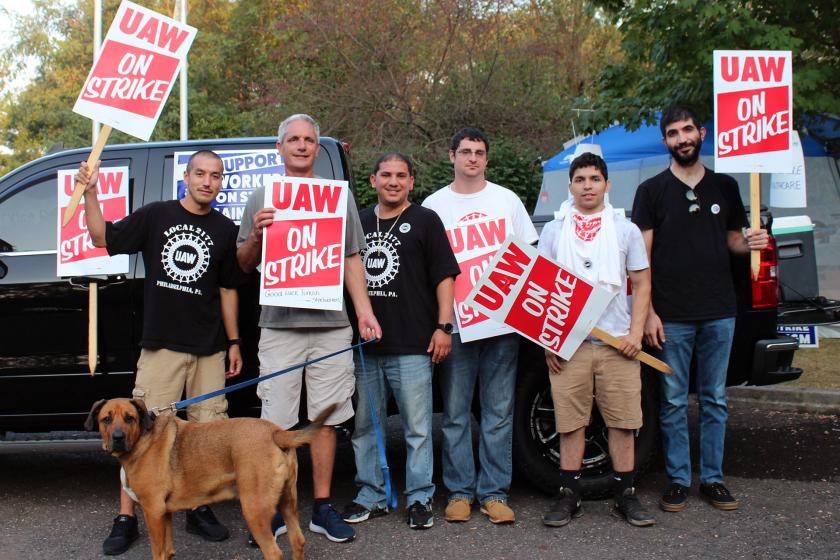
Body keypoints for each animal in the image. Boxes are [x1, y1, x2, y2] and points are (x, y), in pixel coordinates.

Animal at [84, 398, 334, 560]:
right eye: (106, 419)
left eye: (130, 418)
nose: (117, 438)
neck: (142, 440)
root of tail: (277, 432)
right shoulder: (163, 513)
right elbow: (167, 550)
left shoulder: (153, 512)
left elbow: (158, 552)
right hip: (287, 503)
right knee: (298, 541)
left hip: (254, 510)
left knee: (274, 553)